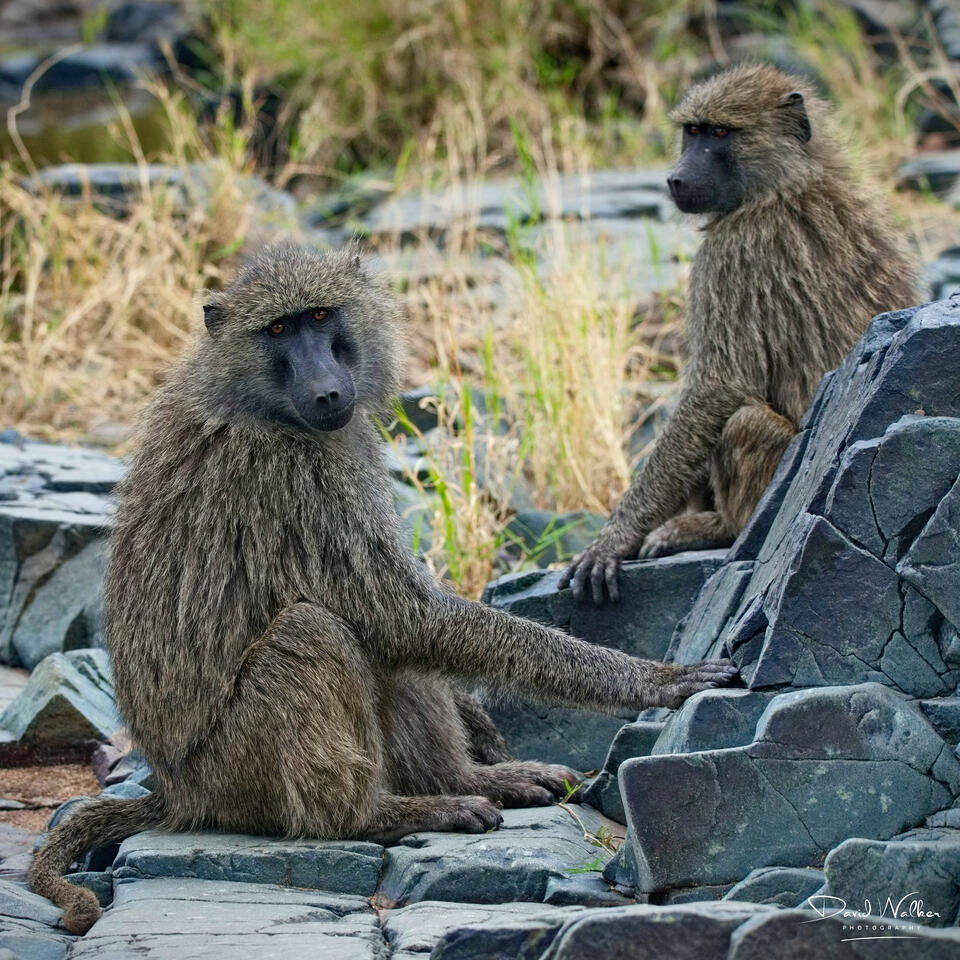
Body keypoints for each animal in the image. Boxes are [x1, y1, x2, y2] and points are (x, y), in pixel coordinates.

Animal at [29, 244, 738, 934]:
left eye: (320, 318)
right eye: (278, 329)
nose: (324, 388)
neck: (253, 400)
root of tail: (176, 791)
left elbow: (407, 626)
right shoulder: (299, 474)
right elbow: (403, 615)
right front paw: (653, 680)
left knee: (381, 652)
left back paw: (471, 779)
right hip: (233, 772)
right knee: (313, 631)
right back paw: (381, 814)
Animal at [561, 64, 918, 605]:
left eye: (721, 134)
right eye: (693, 131)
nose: (676, 178)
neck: (784, 181)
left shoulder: (732, 253)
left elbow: (717, 389)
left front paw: (613, 539)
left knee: (745, 422)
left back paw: (715, 528)